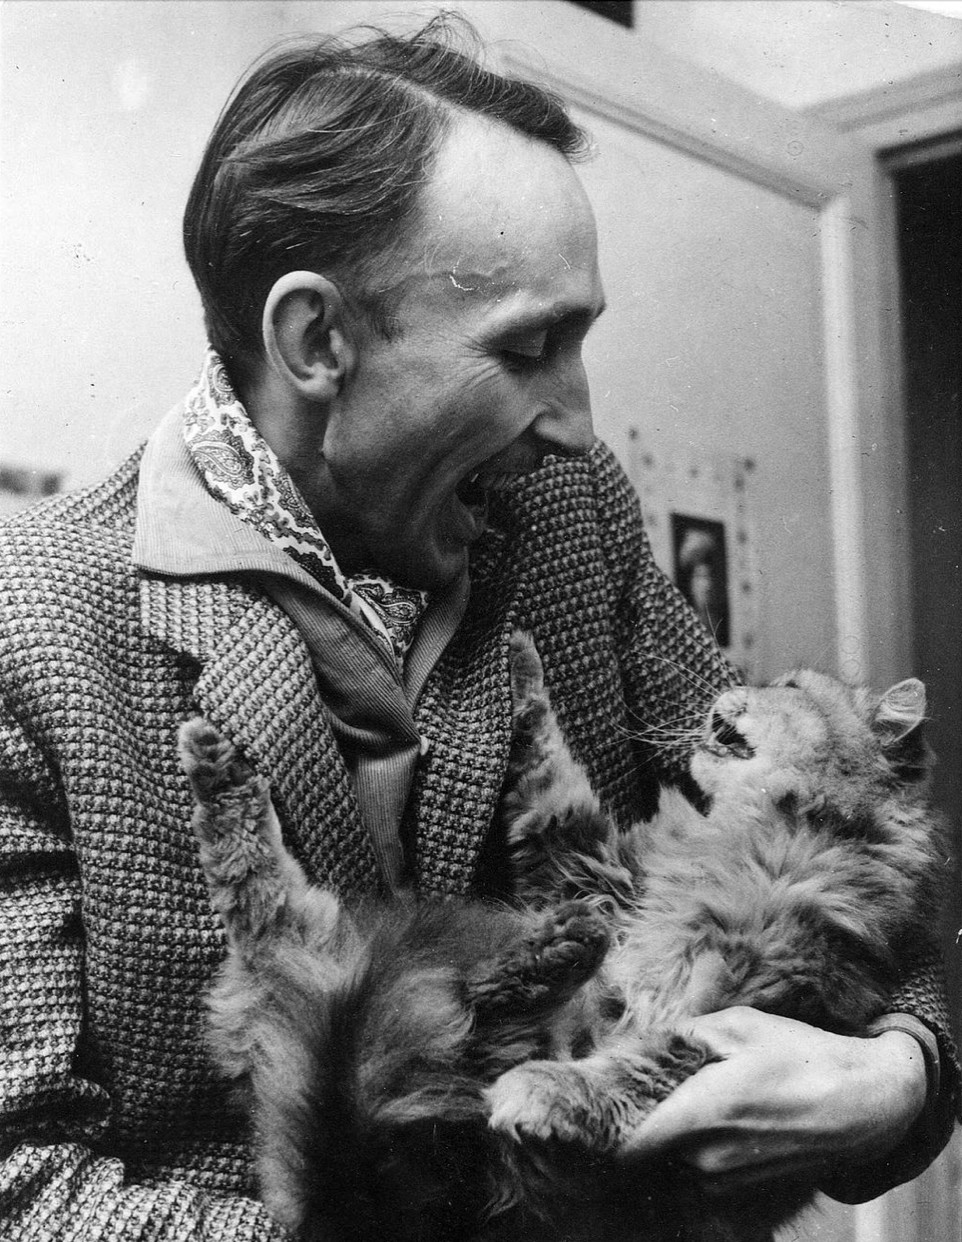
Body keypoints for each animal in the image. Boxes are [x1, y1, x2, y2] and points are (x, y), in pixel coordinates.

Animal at [178, 630, 948, 1242]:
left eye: (786, 689)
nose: (719, 696)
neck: (750, 837)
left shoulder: (743, 1007)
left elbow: (631, 1070)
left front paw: (543, 1092)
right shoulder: (587, 869)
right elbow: (547, 764)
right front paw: (519, 661)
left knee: (282, 920)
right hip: (330, 977)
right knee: (263, 900)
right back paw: (215, 760)